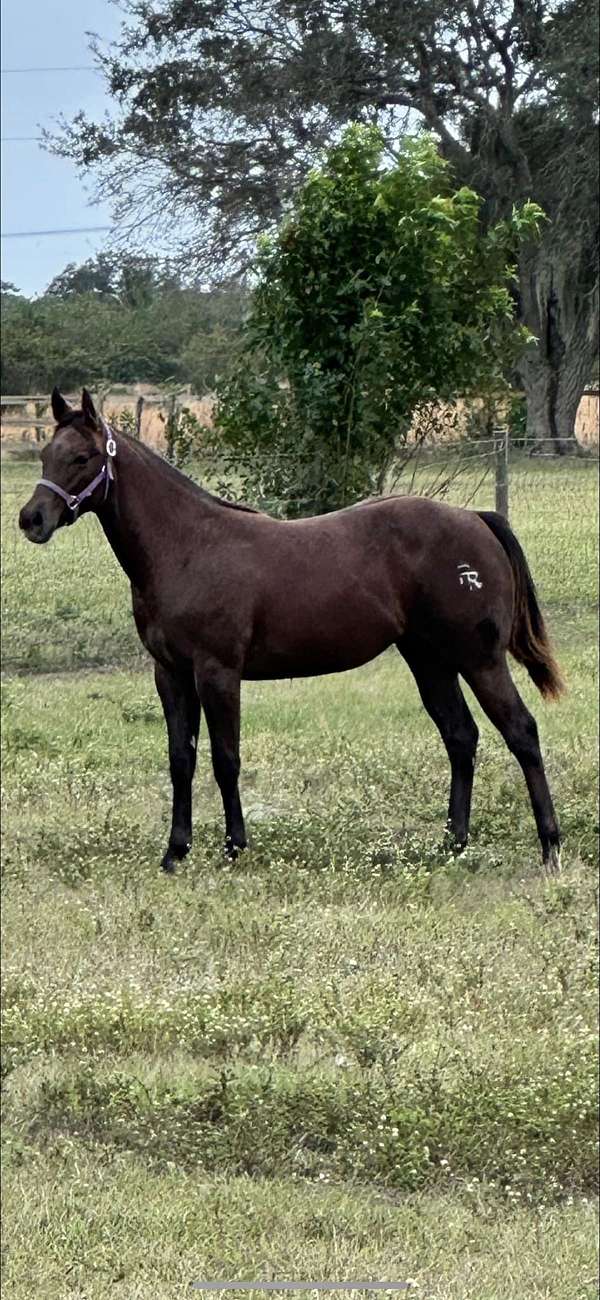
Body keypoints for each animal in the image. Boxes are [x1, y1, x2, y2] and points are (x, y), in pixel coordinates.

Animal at [17, 384, 563, 873]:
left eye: (83, 457)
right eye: (46, 454)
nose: (32, 519)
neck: (187, 546)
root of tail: (475, 519)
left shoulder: (217, 671)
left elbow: (225, 758)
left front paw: (234, 849)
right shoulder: (169, 674)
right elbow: (180, 760)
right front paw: (175, 854)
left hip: (479, 660)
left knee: (521, 732)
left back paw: (550, 846)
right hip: (430, 661)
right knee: (460, 736)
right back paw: (452, 845)